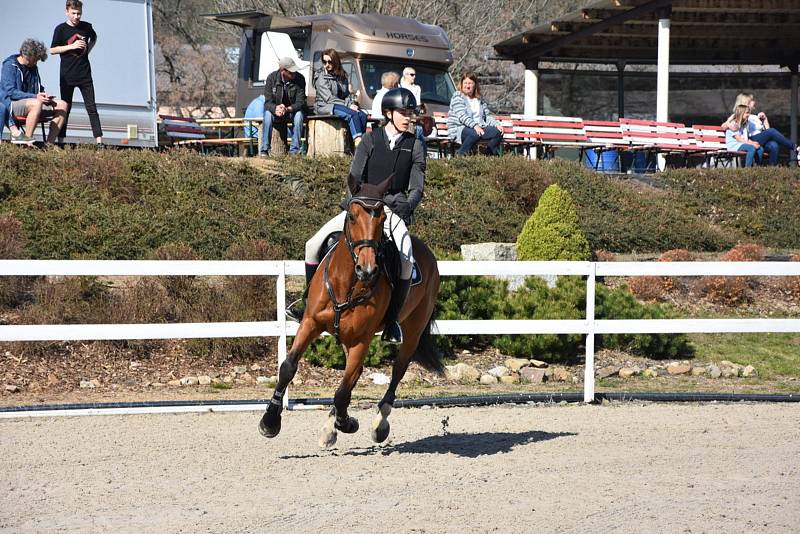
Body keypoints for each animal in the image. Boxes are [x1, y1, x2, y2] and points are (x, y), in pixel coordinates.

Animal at [260, 175, 444, 448]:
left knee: (396, 371)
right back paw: (331, 426)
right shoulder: (310, 323)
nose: (366, 269)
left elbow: (342, 390)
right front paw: (270, 421)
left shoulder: (360, 340)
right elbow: (288, 368)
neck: (346, 283)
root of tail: (430, 255)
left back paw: (378, 425)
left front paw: (346, 423)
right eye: (352, 216)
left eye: (382, 218)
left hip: (411, 332)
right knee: (355, 374)